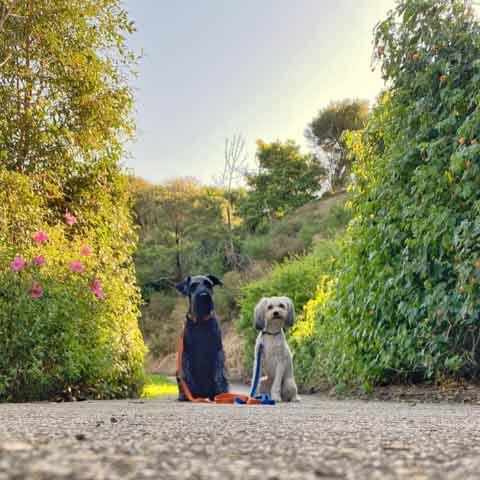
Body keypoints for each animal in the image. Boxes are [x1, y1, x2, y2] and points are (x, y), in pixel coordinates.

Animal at [175, 274, 230, 402]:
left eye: (208, 284)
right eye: (193, 286)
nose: (204, 295)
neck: (200, 321)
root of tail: (203, 394)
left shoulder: (217, 351)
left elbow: (219, 373)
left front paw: (221, 391)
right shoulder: (185, 353)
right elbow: (186, 375)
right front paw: (187, 392)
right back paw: (183, 395)